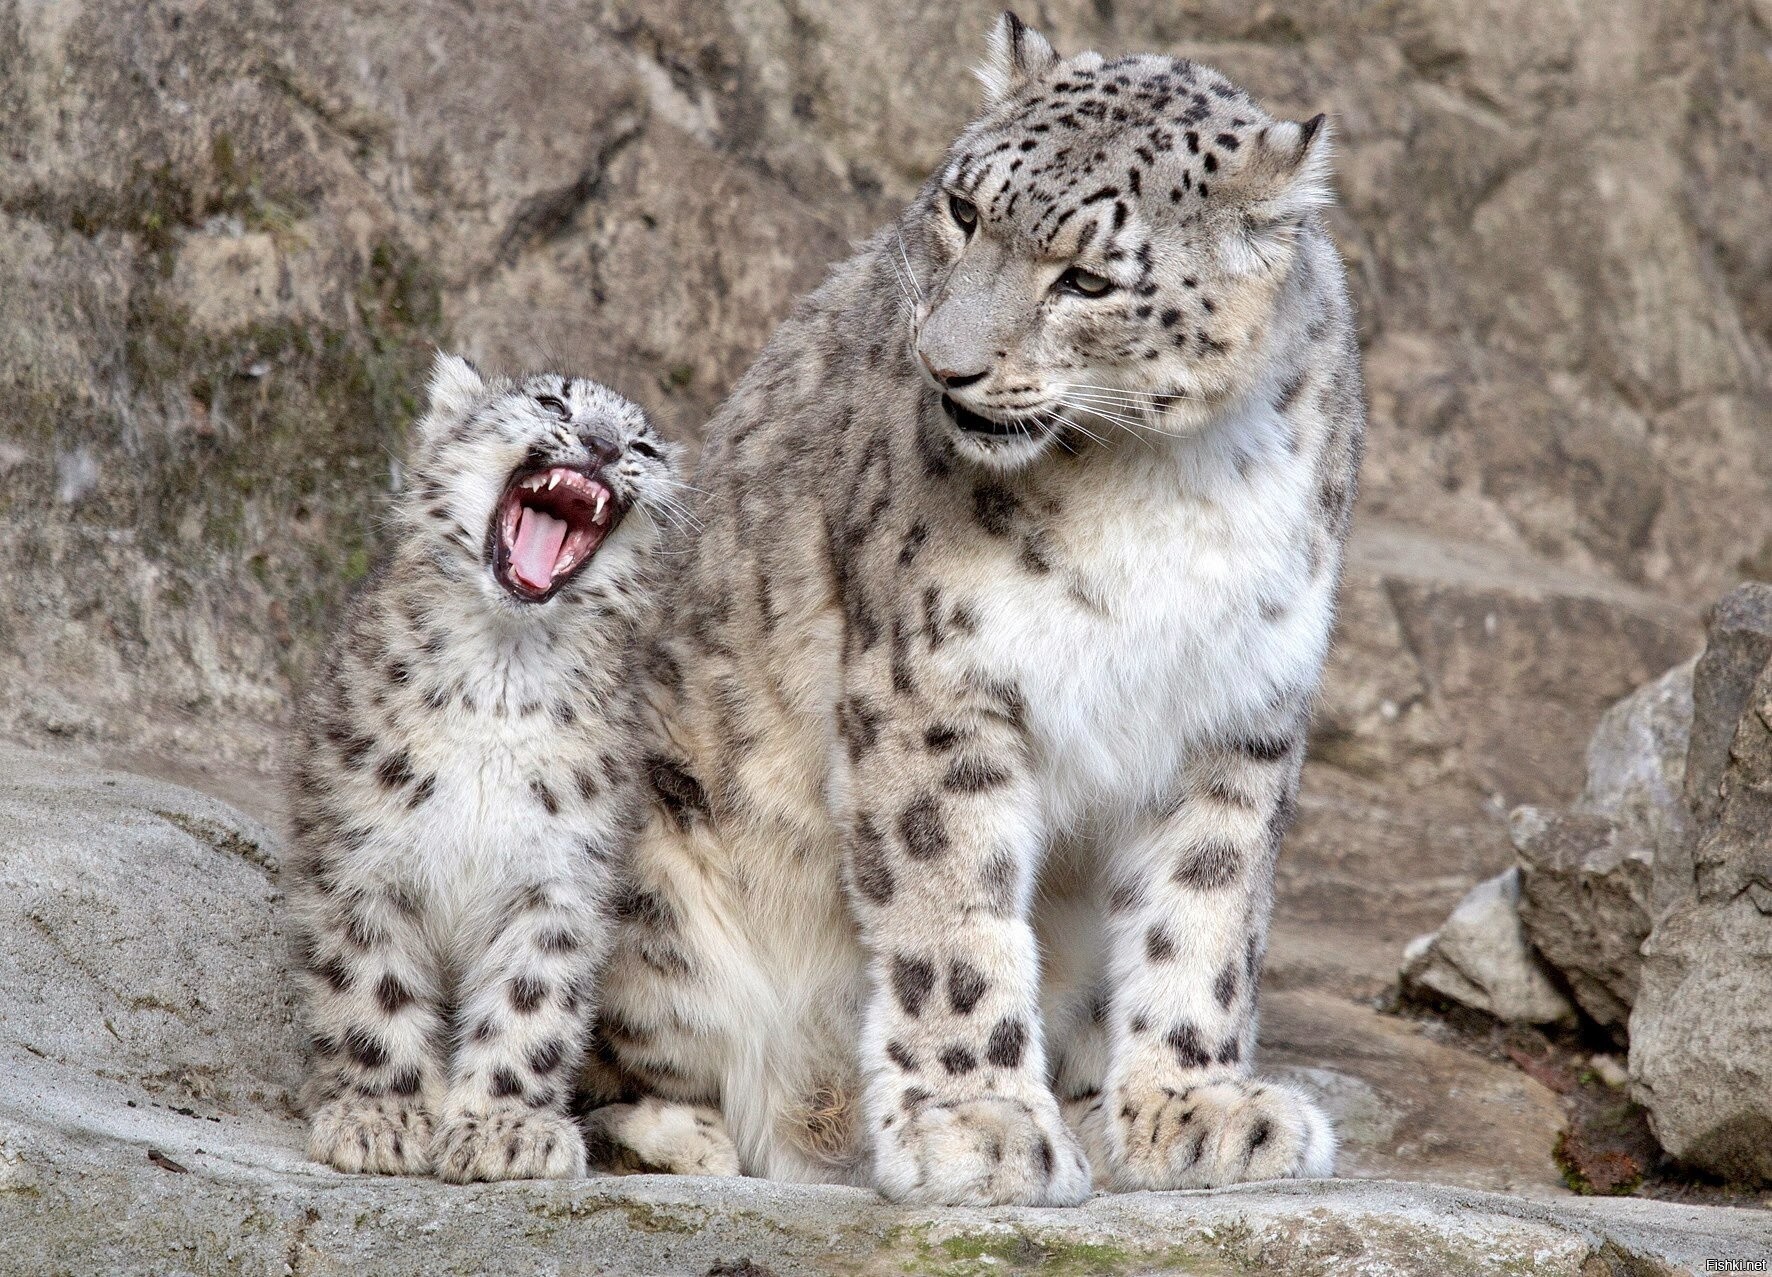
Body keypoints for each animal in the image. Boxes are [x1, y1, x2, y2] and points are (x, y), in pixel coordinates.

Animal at [588, 12, 1360, 1204]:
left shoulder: (1240, 710)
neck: (1167, 479)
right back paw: (690, 1137)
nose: (944, 364)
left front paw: (1197, 1107)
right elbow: (951, 912)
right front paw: (980, 1126)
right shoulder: (938, 684)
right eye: (961, 209)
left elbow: (1205, 911)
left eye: (1085, 278)